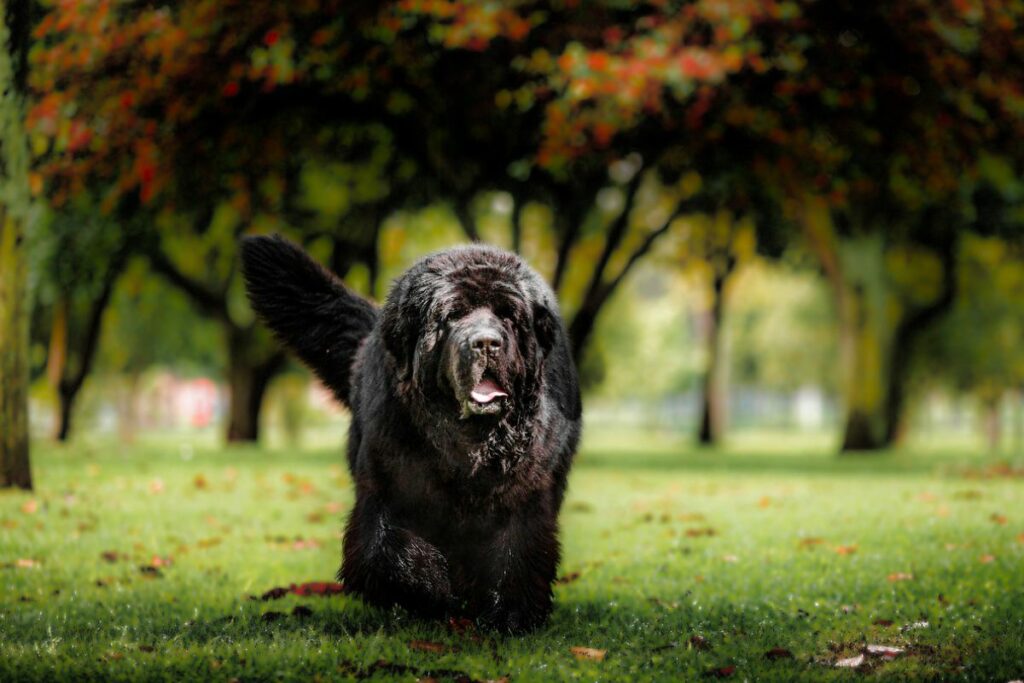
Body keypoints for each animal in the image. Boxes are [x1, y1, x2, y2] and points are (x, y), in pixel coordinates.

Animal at [235, 237, 581, 634]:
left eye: (509, 315)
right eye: (452, 316)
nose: (486, 343)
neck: (469, 444)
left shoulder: (525, 493)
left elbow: (518, 551)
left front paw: (511, 615)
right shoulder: (386, 484)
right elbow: (387, 549)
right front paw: (428, 588)